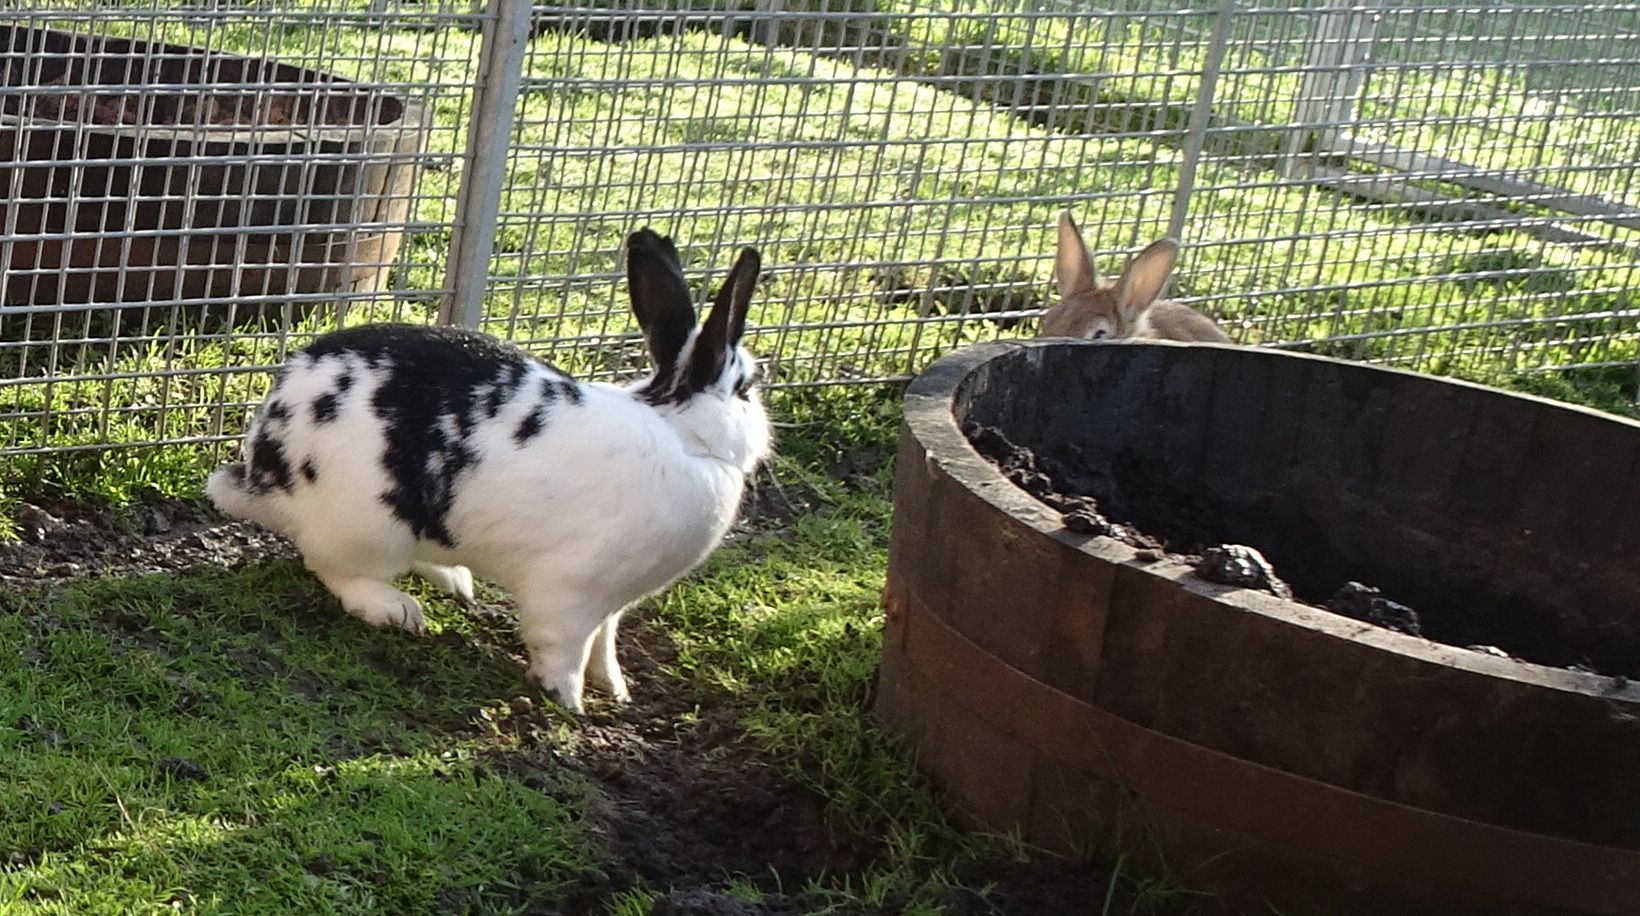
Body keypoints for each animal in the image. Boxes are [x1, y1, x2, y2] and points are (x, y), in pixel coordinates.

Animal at [205, 228, 771, 713]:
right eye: (746, 388)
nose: (768, 436)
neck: (685, 436)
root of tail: (263, 463)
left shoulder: (611, 604)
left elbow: (604, 645)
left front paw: (615, 689)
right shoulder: (571, 594)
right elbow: (563, 651)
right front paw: (570, 703)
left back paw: (455, 579)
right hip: (367, 530)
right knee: (328, 564)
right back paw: (395, 609)